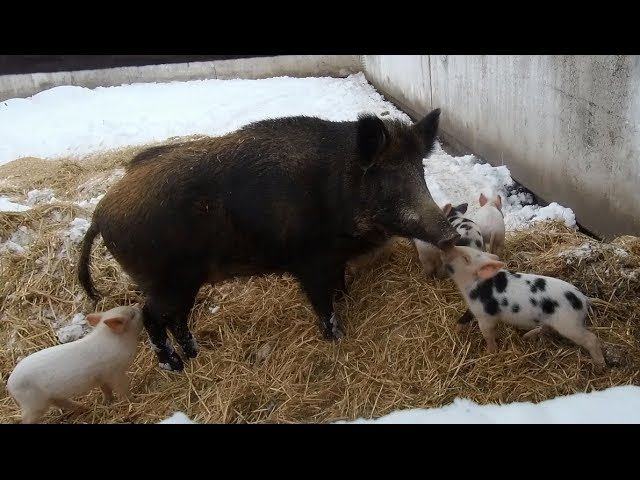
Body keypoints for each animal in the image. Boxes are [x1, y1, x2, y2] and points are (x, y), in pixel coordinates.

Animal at [6, 305, 143, 424]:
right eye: (132, 315)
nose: (140, 307)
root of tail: (10, 385)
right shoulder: (115, 373)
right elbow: (122, 389)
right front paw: (133, 400)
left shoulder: (101, 377)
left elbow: (106, 390)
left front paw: (107, 402)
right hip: (33, 404)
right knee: (27, 419)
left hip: (50, 397)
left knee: (62, 402)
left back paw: (85, 408)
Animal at [78, 109, 460, 371]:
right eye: (387, 178)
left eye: (420, 171)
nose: (451, 233)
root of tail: (101, 212)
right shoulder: (310, 263)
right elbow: (324, 307)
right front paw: (337, 340)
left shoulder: (335, 261)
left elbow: (340, 290)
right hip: (165, 281)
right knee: (151, 316)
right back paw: (175, 366)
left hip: (187, 282)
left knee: (178, 319)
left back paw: (196, 355)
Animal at [441, 246, 605, 366]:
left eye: (466, 258)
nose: (447, 247)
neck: (471, 285)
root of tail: (583, 299)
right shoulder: (472, 308)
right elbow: (466, 315)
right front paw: (457, 329)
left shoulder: (485, 316)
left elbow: (488, 335)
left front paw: (489, 353)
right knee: (547, 328)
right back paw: (527, 336)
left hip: (570, 325)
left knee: (592, 339)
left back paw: (599, 365)